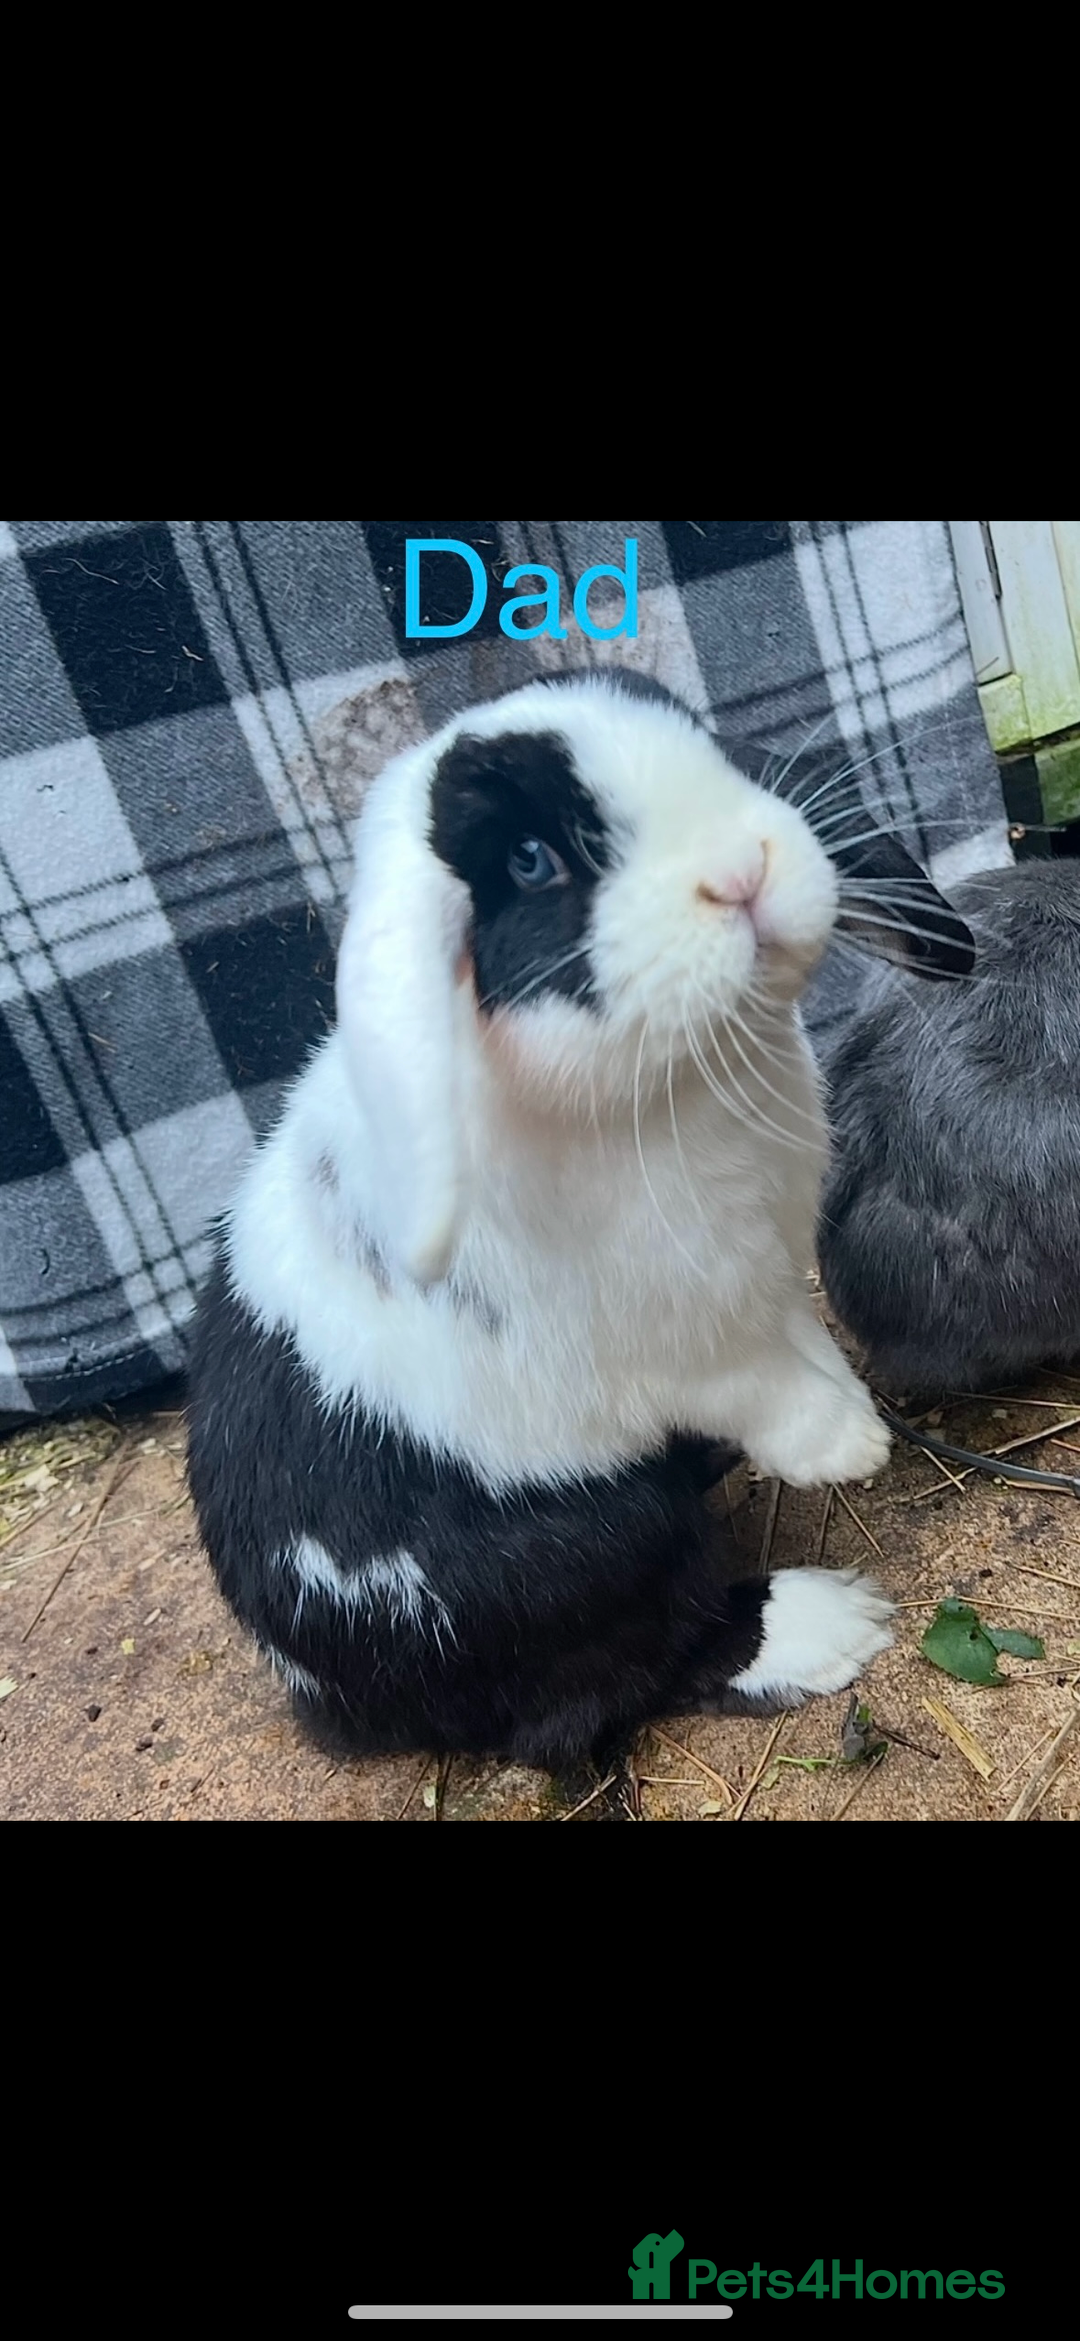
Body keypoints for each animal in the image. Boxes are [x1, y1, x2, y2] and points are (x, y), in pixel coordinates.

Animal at [186, 669, 973, 1770]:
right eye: (531, 861)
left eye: (700, 743)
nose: (741, 869)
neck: (682, 1084)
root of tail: (321, 1687)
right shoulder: (685, 1343)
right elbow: (764, 1389)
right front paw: (848, 1445)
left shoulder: (770, 1279)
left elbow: (801, 1341)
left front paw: (845, 1394)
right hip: (586, 1557)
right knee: (609, 1685)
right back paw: (826, 1623)